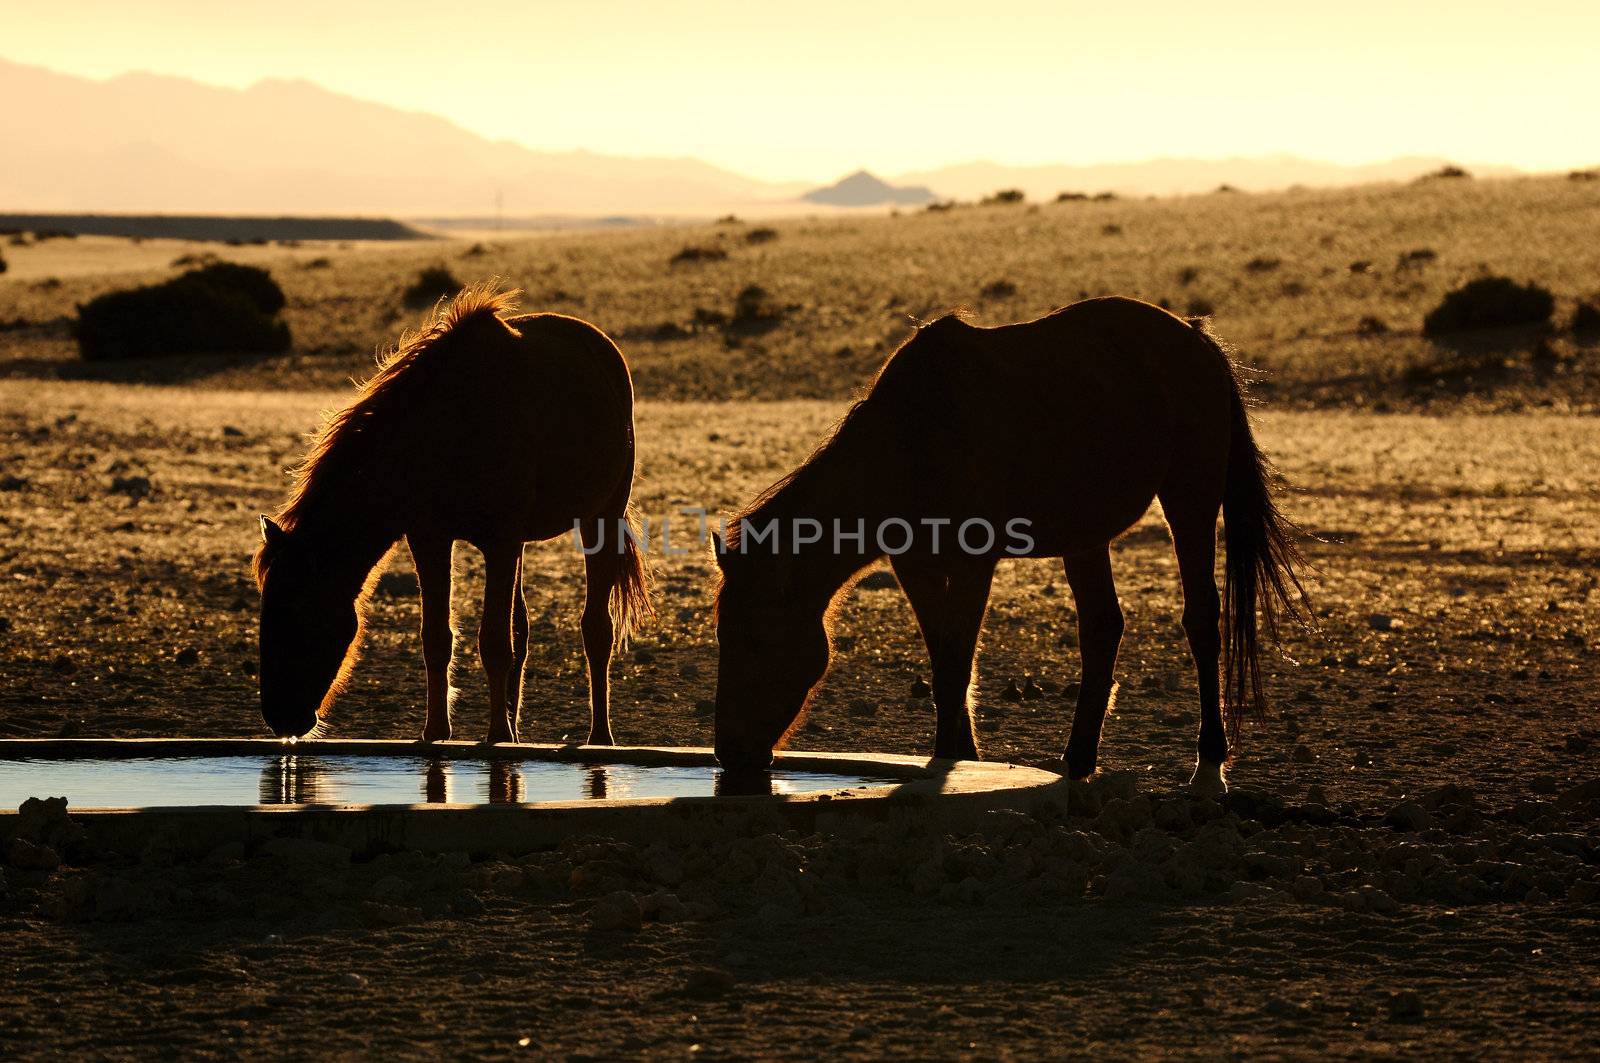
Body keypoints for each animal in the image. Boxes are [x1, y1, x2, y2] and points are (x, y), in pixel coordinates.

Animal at [251, 286, 649, 742]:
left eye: (300, 611)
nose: (280, 717)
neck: (447, 431)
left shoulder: (499, 542)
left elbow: (494, 642)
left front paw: (497, 737)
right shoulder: (432, 540)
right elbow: (438, 638)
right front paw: (436, 731)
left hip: (600, 520)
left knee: (596, 629)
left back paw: (598, 735)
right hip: (523, 543)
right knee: (522, 628)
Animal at [716, 294, 1312, 794]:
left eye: (755, 637)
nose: (728, 753)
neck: (914, 438)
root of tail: (1196, 338)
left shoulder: (973, 562)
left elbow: (956, 666)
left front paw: (954, 765)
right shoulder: (917, 566)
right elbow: (944, 663)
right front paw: (963, 758)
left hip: (1189, 499)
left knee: (1201, 619)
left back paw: (1208, 768)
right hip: (1085, 536)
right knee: (1103, 628)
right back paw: (1078, 762)